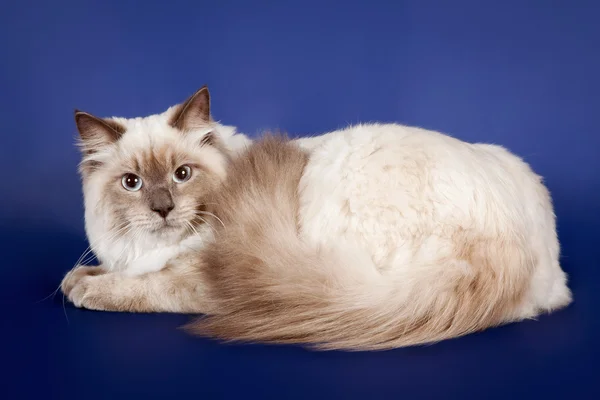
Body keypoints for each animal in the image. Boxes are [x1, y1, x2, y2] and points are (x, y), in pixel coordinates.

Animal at [61, 86, 572, 348]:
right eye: (132, 183)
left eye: (182, 174)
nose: (163, 208)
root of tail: (512, 240)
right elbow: (110, 270)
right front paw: (80, 277)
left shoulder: (206, 277)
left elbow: (145, 287)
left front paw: (86, 289)